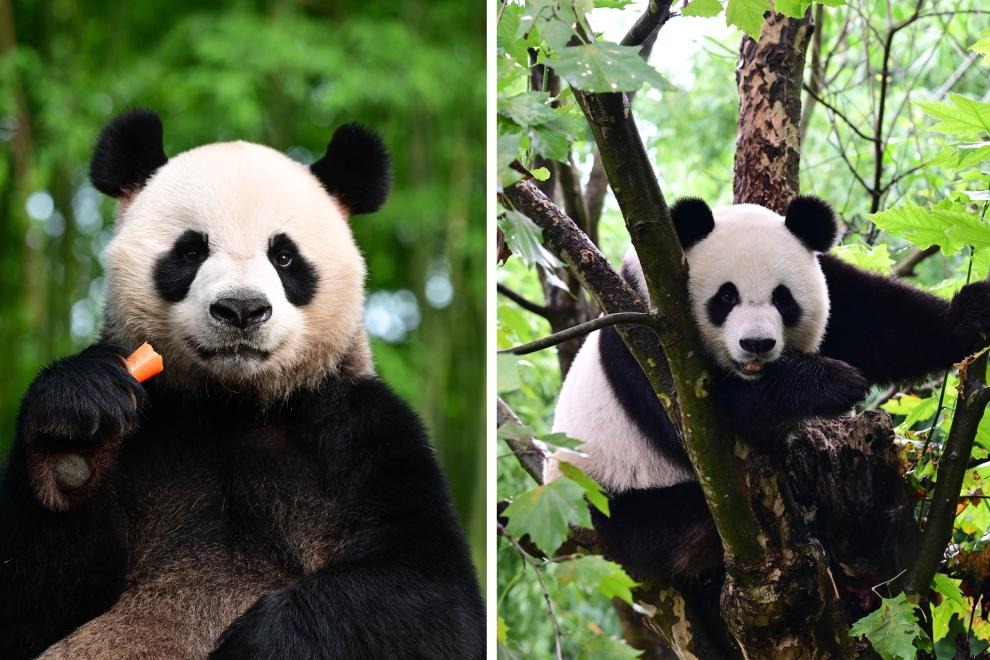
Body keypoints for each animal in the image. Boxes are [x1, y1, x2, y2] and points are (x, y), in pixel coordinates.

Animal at [0, 109, 484, 660]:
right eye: (190, 250)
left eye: (285, 257)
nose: (241, 309)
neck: (231, 404)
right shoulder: (150, 428)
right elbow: (31, 602)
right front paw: (74, 440)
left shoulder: (357, 430)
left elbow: (435, 598)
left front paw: (263, 640)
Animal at [552, 196, 990, 584]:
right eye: (726, 296)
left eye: (783, 298)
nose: (756, 344)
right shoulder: (648, 339)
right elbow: (710, 418)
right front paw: (833, 382)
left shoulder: (832, 283)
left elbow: (879, 321)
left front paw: (971, 314)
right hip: (623, 498)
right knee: (677, 524)